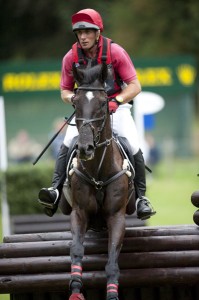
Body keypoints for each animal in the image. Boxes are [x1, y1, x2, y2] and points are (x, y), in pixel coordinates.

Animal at [62, 62, 136, 298]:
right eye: (75, 103)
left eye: (104, 103)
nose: (85, 148)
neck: (98, 171)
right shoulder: (79, 213)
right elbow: (76, 249)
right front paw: (76, 289)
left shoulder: (116, 216)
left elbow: (112, 259)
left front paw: (112, 293)